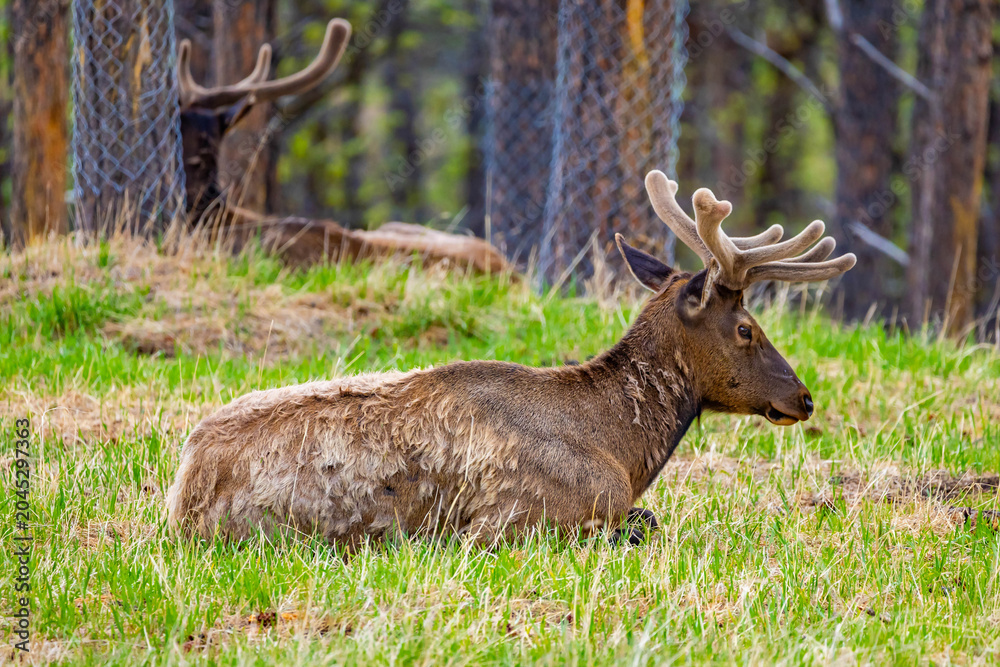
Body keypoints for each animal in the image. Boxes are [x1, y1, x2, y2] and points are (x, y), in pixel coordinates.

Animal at [166, 169, 856, 549]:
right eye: (746, 329)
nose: (803, 397)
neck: (622, 448)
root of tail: (180, 493)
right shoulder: (512, 522)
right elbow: (643, 524)